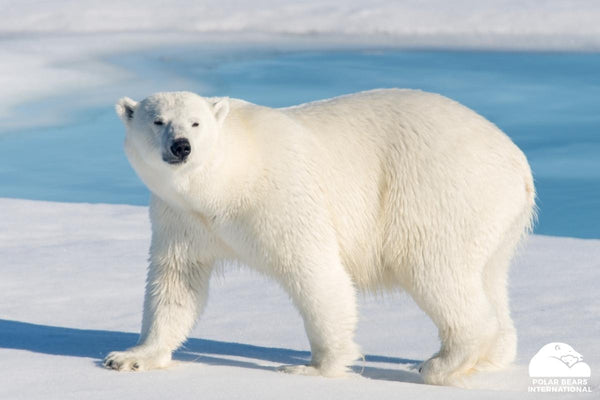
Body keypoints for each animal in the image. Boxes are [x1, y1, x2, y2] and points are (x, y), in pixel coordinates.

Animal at [103, 89, 536, 386]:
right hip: (496, 218)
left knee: (435, 270)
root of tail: (518, 161)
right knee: (489, 276)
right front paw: (130, 357)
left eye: (196, 123)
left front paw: (313, 367)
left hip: (439, 191)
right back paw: (492, 356)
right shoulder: (181, 217)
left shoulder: (280, 195)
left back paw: (440, 363)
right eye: (158, 121)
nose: (182, 147)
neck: (227, 181)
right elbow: (176, 281)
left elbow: (315, 271)